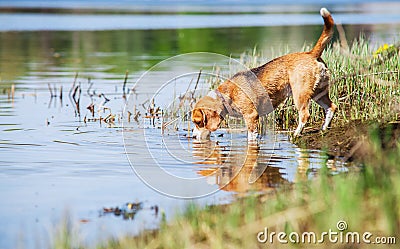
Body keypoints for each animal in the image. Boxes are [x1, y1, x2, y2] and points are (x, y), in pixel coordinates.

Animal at [192, 7, 336, 140]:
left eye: (198, 122)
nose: (192, 137)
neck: (226, 95)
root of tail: (310, 53)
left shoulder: (251, 116)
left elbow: (251, 136)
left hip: (300, 95)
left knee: (305, 115)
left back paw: (296, 134)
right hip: (318, 92)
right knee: (331, 107)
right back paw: (323, 129)